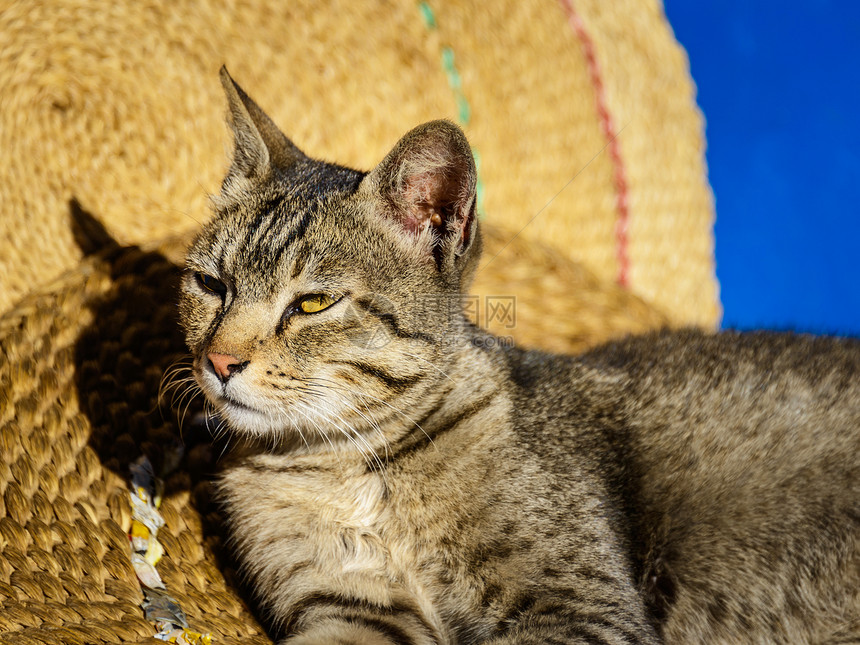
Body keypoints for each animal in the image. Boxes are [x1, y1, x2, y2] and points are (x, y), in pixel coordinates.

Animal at [176, 68, 860, 640]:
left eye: (313, 303)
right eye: (211, 284)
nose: (219, 362)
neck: (346, 464)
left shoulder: (577, 610)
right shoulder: (352, 610)